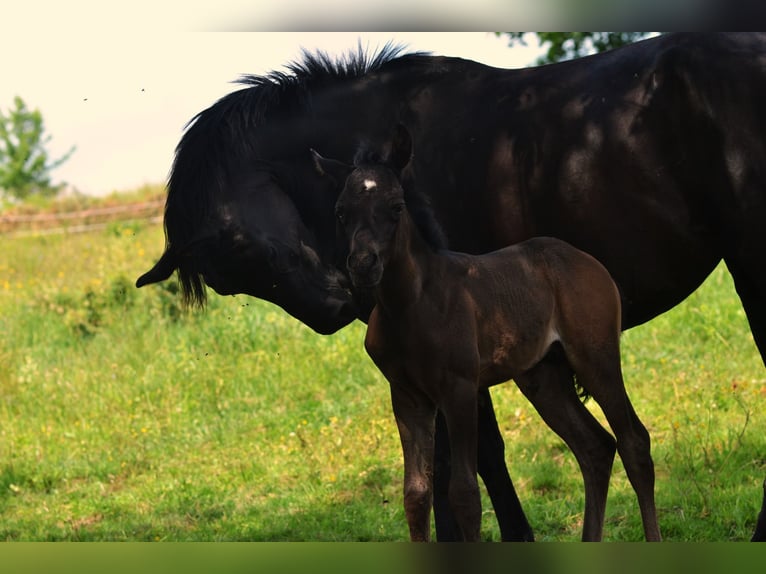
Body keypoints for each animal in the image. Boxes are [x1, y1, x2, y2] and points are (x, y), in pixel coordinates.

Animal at [314, 126, 661, 542]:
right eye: (340, 212)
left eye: (396, 206)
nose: (364, 265)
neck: (411, 305)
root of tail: (587, 262)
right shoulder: (407, 396)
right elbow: (416, 494)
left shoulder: (460, 389)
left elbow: (464, 493)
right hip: (543, 376)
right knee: (595, 447)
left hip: (596, 355)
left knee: (633, 441)